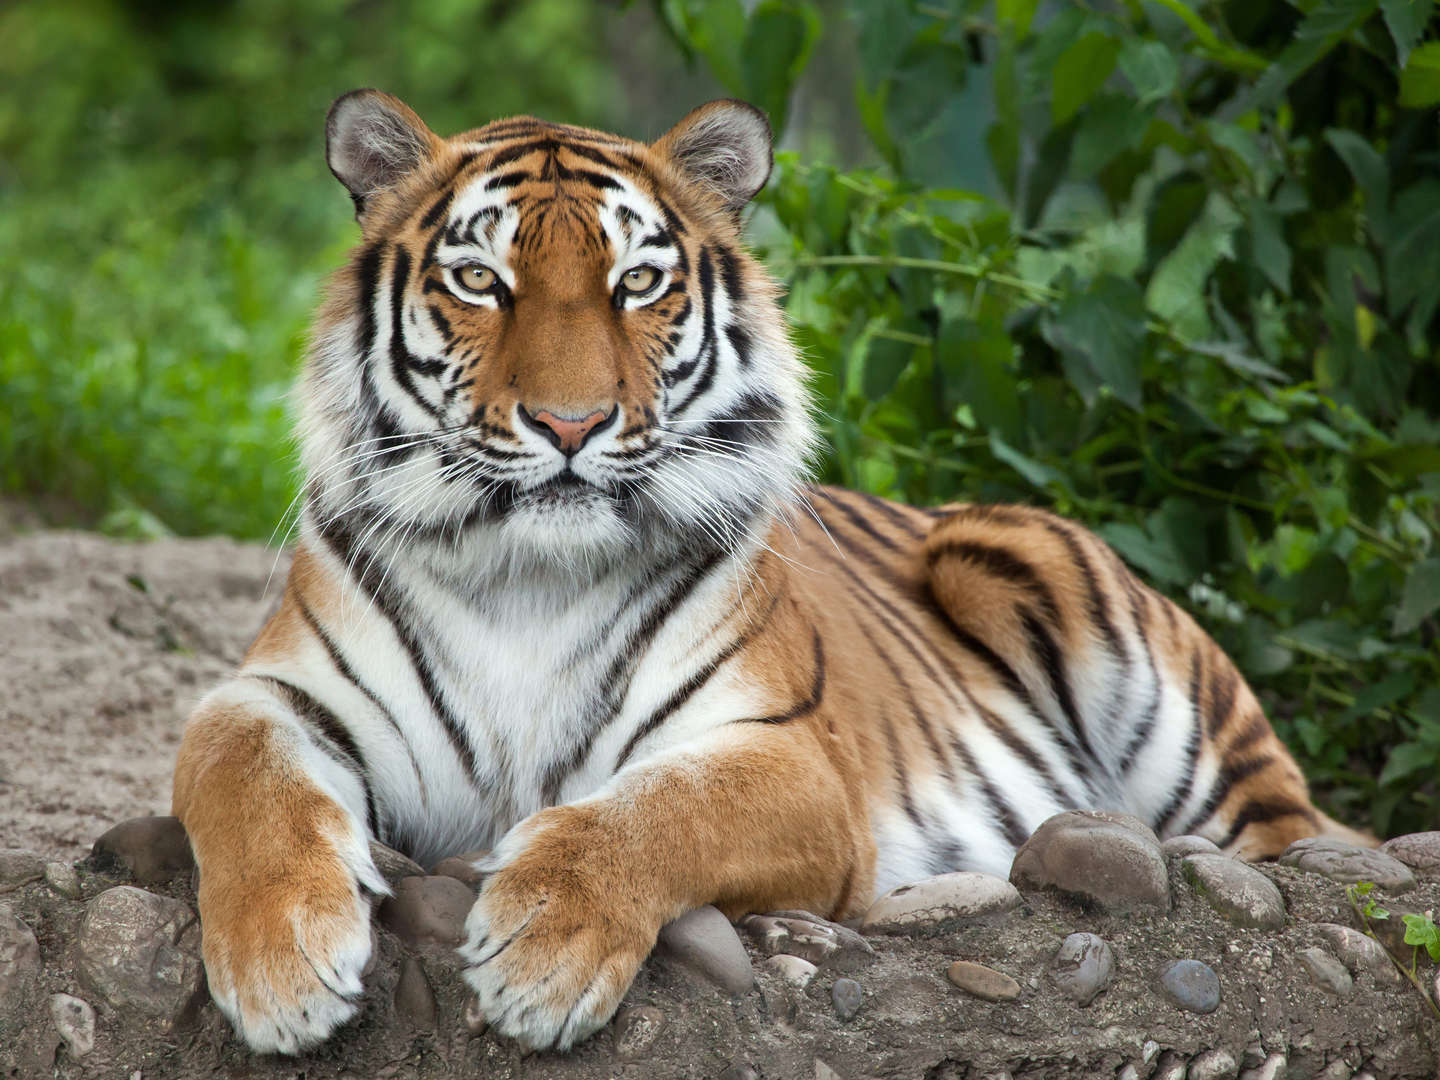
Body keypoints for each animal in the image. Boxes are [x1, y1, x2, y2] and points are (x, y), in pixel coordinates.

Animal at [171, 91, 1370, 1059]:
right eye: (480, 280)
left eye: (637, 284)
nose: (570, 424)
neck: (527, 579)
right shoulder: (275, 694)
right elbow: (244, 777)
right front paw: (282, 967)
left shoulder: (791, 760)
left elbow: (653, 812)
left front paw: (541, 949)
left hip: (1071, 610)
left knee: (1299, 837)